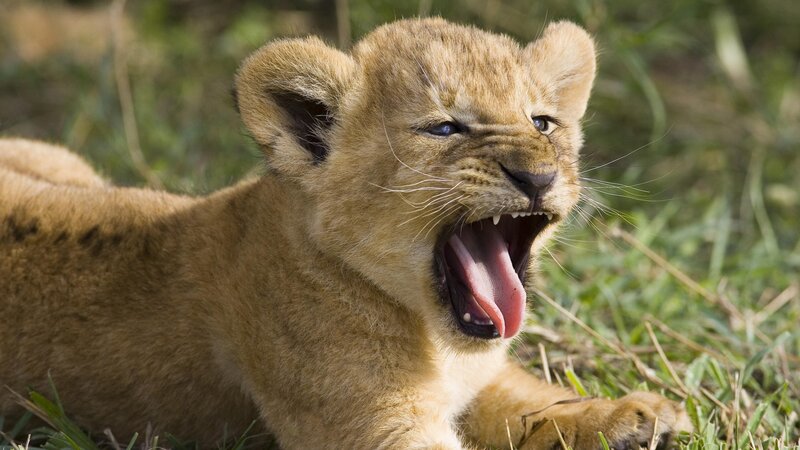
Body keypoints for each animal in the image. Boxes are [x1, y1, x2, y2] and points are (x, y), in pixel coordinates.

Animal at [0, 18, 690, 449]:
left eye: (543, 122)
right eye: (444, 128)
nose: (539, 176)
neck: (433, 337)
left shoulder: (482, 377)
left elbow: (534, 401)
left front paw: (634, 416)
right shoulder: (371, 426)